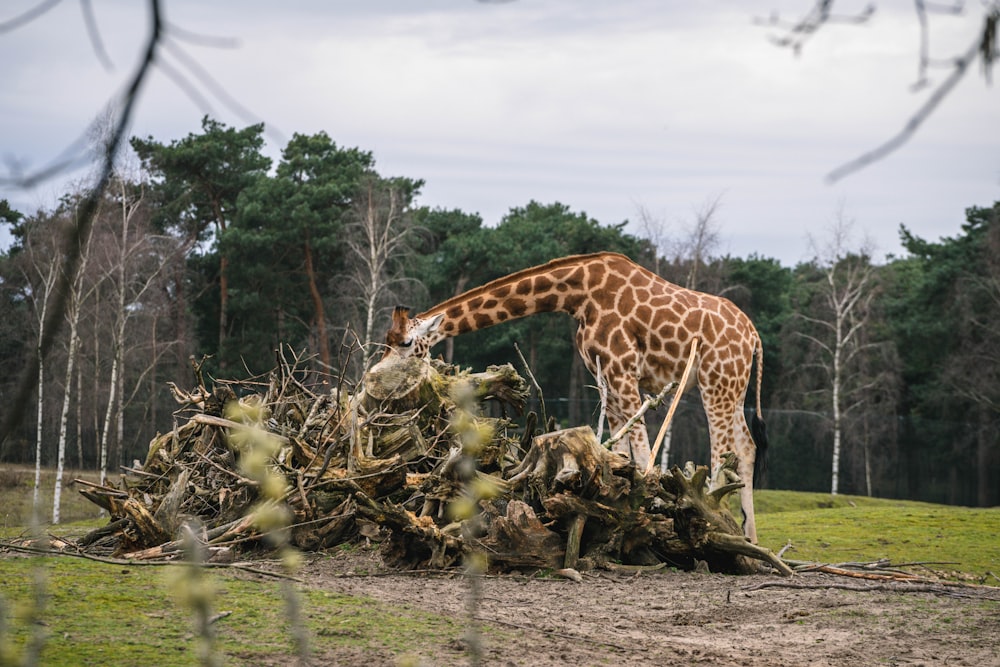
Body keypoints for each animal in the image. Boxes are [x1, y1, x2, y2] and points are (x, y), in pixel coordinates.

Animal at [378, 250, 768, 544]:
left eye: (408, 343)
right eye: (386, 342)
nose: (376, 375)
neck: (576, 295)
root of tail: (754, 337)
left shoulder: (622, 370)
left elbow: (642, 451)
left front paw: (653, 512)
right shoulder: (604, 374)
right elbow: (620, 449)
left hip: (715, 380)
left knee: (722, 451)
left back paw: (717, 526)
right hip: (734, 386)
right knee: (747, 446)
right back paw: (749, 537)